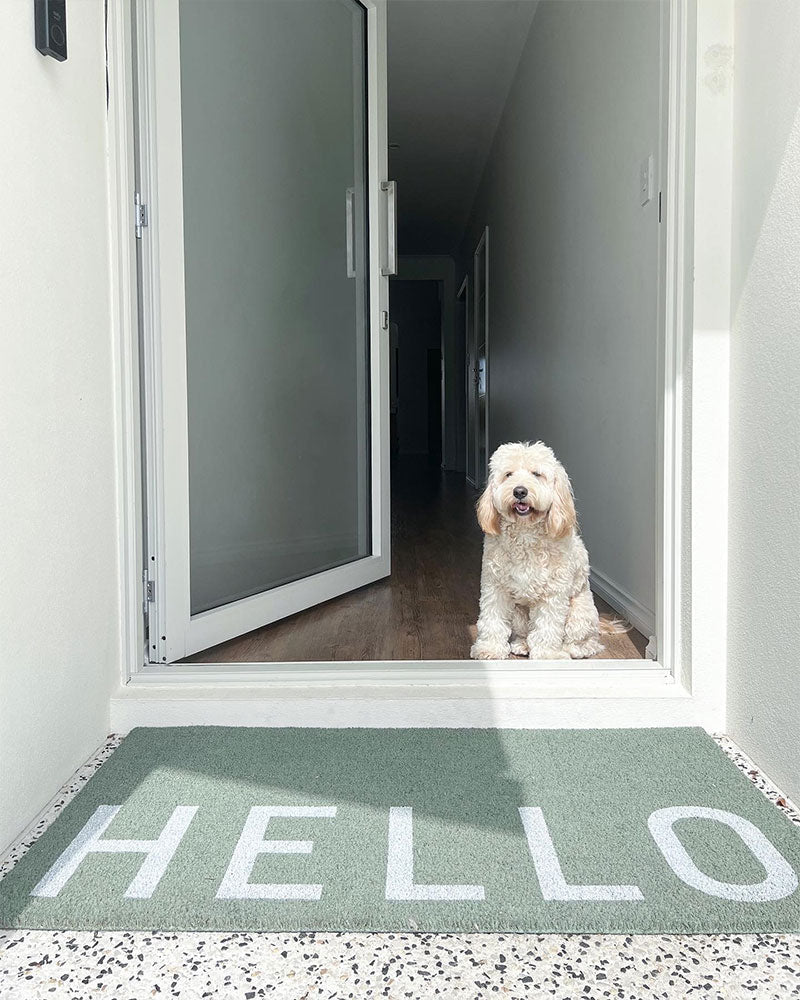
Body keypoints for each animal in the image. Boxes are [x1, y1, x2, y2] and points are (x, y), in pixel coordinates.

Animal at [472, 442, 620, 660]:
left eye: (537, 474)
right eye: (508, 474)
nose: (520, 491)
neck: (525, 534)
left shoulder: (553, 593)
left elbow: (548, 627)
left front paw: (548, 655)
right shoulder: (495, 587)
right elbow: (493, 619)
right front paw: (489, 648)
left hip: (579, 614)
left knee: (586, 643)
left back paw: (570, 649)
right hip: (519, 613)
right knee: (525, 632)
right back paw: (523, 644)